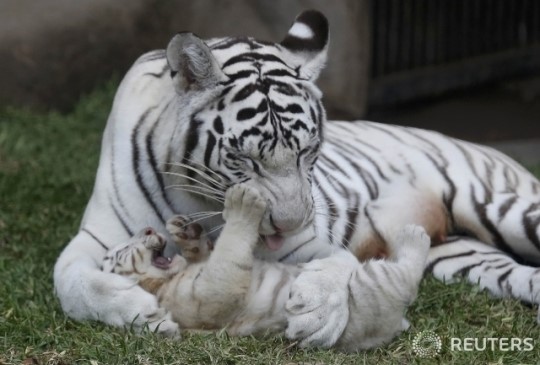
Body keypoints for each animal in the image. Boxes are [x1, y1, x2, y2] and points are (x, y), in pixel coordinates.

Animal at [101, 185, 430, 350]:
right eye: (121, 251)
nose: (147, 230)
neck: (168, 279)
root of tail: (397, 325)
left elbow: (204, 252)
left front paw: (184, 229)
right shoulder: (208, 296)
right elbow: (230, 248)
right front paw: (242, 203)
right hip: (373, 285)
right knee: (405, 277)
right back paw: (415, 236)